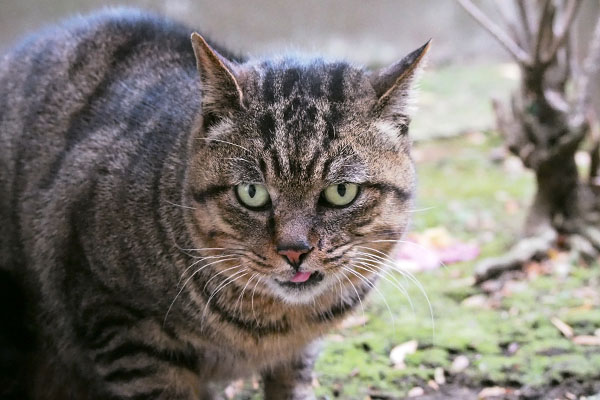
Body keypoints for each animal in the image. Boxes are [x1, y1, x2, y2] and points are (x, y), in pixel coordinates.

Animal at [1, 7, 432, 400]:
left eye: (341, 192)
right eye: (252, 193)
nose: (294, 251)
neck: (277, 326)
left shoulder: (298, 355)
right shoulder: (123, 325)